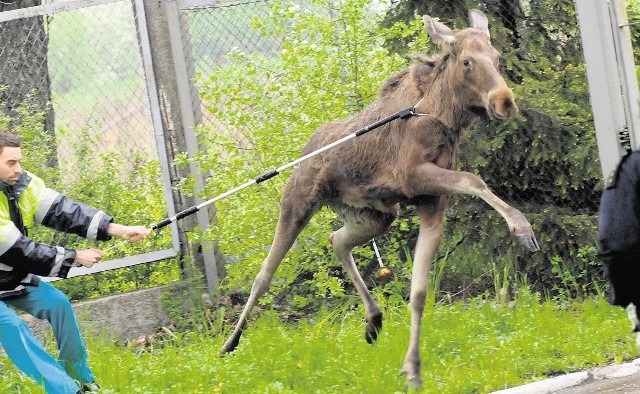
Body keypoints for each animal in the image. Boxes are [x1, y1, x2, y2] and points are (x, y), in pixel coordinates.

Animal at [220, 8, 540, 388]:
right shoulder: (414, 175)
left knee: (337, 240)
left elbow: (419, 292)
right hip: (297, 205)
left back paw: (373, 318)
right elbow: (474, 179)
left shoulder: (432, 203)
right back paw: (229, 342)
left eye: (498, 58)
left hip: (374, 217)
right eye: (466, 61)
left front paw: (413, 369)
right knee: (263, 275)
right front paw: (522, 229)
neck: (445, 119)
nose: (504, 101)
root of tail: (307, 146)